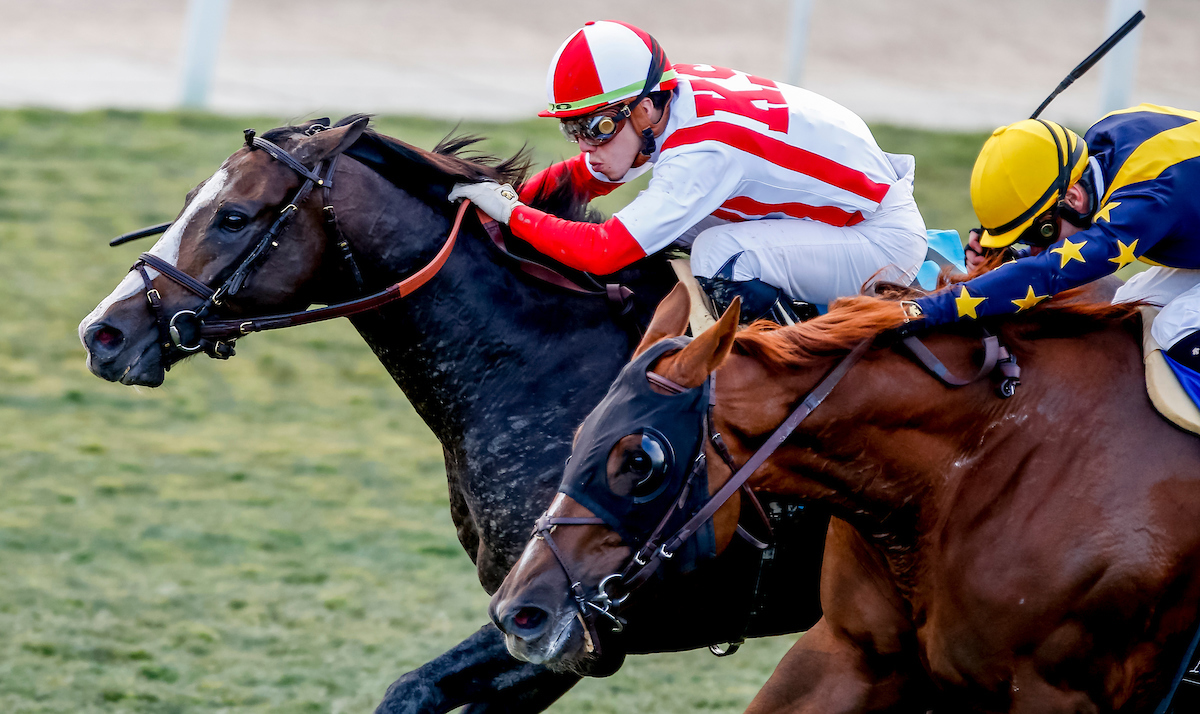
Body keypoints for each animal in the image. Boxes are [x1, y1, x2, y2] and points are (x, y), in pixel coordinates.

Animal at [75, 118, 825, 714]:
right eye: (189, 204)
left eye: (233, 215)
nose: (102, 333)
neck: (550, 370)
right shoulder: (541, 627)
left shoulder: (579, 624)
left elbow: (410, 689)